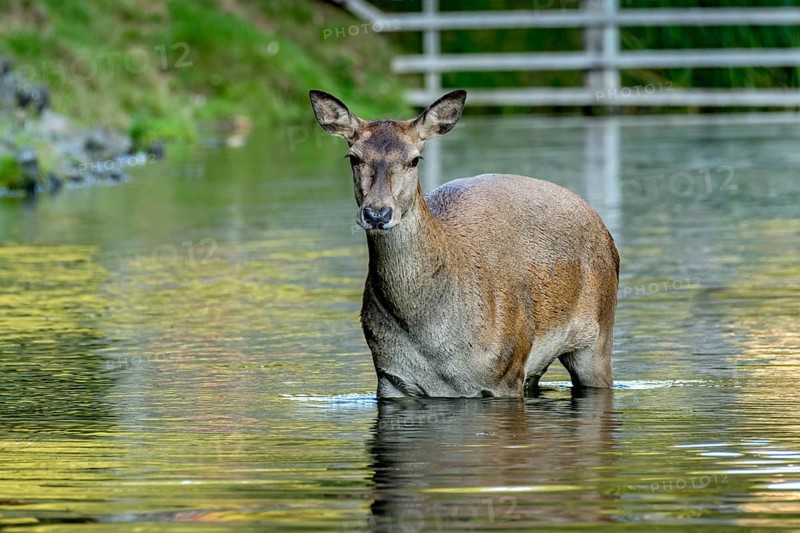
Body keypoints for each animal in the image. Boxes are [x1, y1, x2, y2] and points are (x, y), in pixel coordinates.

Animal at [309, 89, 619, 398]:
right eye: (353, 157)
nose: (377, 213)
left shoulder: (505, 372)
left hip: (597, 338)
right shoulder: (390, 377)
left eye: (415, 159)